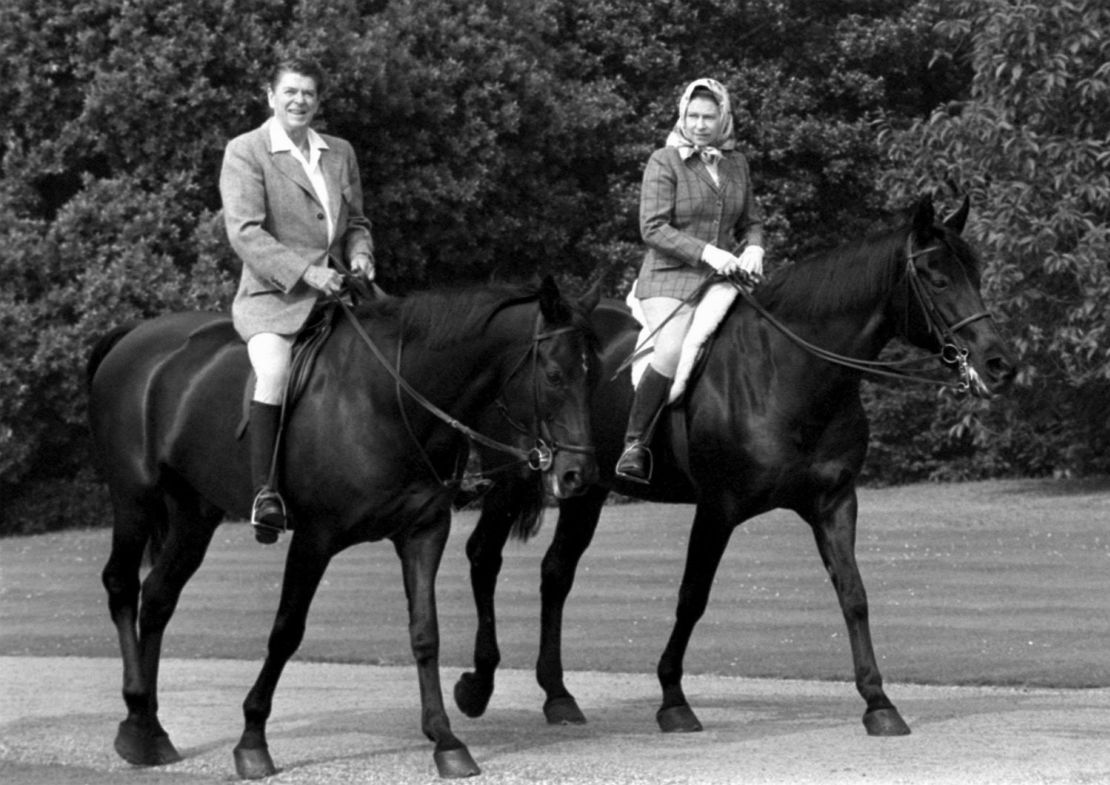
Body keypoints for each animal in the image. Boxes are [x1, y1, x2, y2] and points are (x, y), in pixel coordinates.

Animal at [88, 276, 599, 781]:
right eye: (555, 375)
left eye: (593, 375)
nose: (579, 475)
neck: (387, 399)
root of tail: (136, 335)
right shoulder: (314, 539)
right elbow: (286, 631)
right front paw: (252, 739)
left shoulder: (423, 533)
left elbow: (425, 633)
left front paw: (446, 740)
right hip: (135, 501)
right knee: (121, 585)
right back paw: (137, 713)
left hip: (194, 514)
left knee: (158, 596)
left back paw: (146, 728)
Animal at [450, 197, 1016, 737]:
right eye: (938, 279)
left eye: (976, 274)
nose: (999, 364)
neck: (787, 371)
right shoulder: (717, 510)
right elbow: (692, 598)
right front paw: (673, 701)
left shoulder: (834, 503)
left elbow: (854, 594)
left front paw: (879, 703)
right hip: (515, 477)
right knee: (484, 555)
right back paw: (477, 686)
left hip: (585, 488)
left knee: (556, 572)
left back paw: (558, 696)